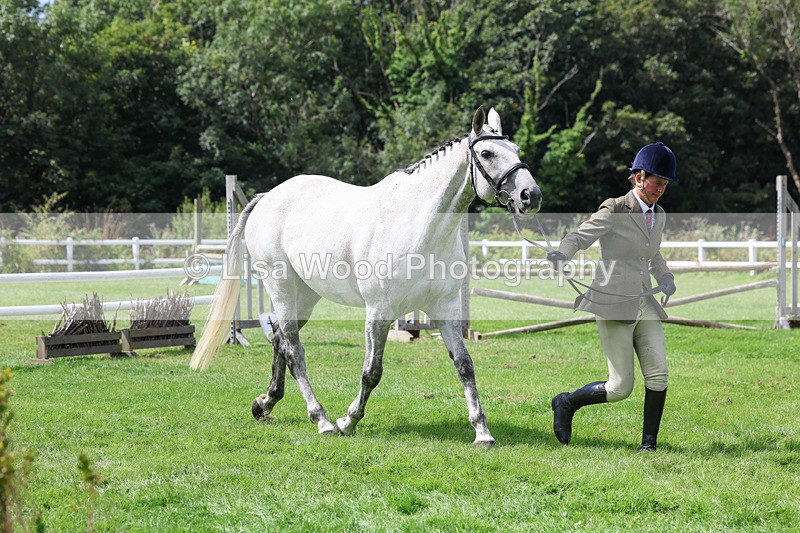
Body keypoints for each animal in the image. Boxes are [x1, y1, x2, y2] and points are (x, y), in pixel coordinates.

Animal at [190, 106, 541, 447]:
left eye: (515, 150)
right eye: (486, 153)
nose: (531, 195)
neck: (419, 226)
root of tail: (268, 197)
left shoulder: (445, 308)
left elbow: (464, 365)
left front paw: (482, 432)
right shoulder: (379, 312)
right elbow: (372, 371)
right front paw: (347, 422)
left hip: (306, 295)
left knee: (279, 339)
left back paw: (265, 403)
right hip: (281, 286)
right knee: (294, 350)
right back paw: (321, 420)